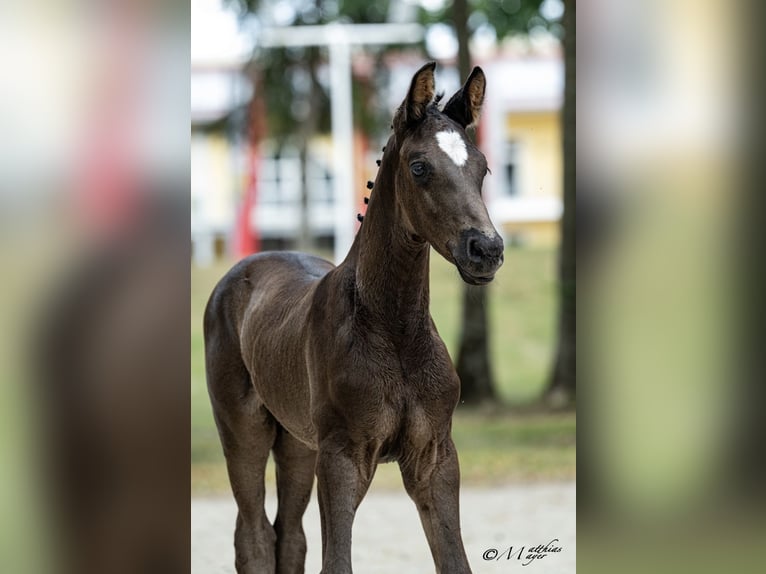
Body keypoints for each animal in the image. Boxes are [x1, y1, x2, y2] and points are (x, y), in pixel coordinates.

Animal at [204, 61, 504, 574]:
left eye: (482, 167)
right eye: (419, 167)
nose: (486, 249)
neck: (395, 329)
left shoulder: (434, 457)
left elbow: (454, 561)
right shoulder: (342, 457)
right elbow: (337, 560)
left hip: (297, 443)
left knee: (289, 536)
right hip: (243, 430)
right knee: (254, 535)